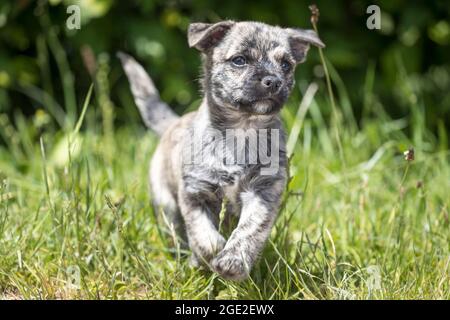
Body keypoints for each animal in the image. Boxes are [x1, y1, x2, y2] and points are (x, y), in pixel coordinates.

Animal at [118, 20, 324, 280]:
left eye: (286, 64)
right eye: (239, 60)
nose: (273, 81)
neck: (242, 130)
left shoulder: (263, 193)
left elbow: (249, 229)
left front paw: (233, 261)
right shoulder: (195, 193)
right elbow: (203, 234)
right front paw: (210, 254)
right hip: (165, 204)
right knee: (177, 232)